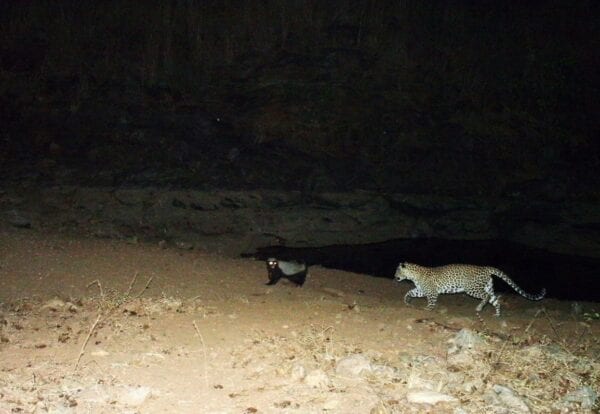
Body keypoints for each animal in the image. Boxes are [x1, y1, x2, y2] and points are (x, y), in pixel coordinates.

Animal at [394, 262, 544, 316]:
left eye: (397, 271)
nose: (395, 277)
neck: (413, 275)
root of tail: (486, 268)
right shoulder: (421, 290)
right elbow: (409, 292)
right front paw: (406, 301)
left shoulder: (431, 292)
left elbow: (431, 302)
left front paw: (427, 309)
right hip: (487, 287)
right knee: (495, 300)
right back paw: (497, 314)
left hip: (472, 288)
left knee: (486, 297)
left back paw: (479, 308)